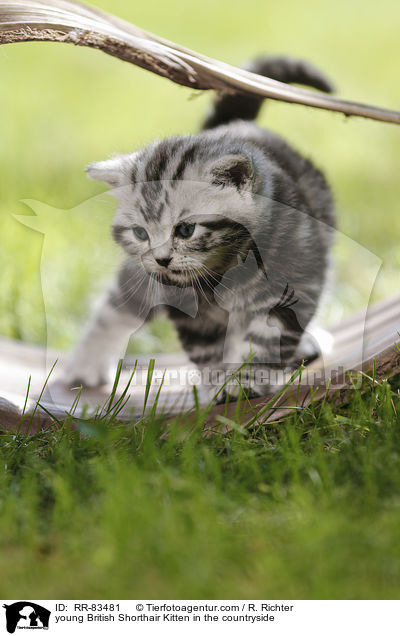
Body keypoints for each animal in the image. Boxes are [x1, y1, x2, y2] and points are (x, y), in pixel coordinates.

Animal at [65, 57, 334, 400]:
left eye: (185, 230)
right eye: (140, 234)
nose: (161, 259)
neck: (223, 275)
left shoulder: (292, 285)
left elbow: (263, 341)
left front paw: (247, 381)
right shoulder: (184, 307)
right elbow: (207, 349)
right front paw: (217, 386)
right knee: (116, 306)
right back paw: (86, 364)